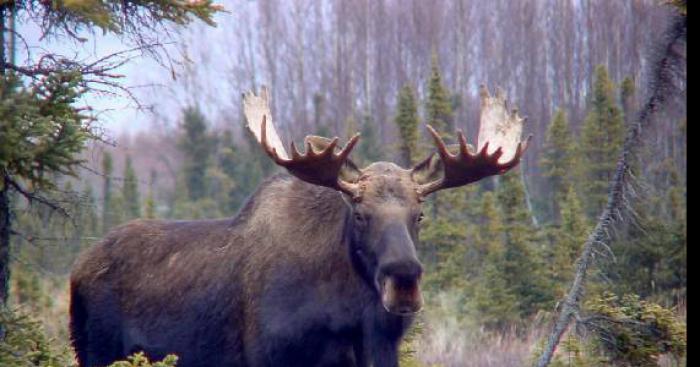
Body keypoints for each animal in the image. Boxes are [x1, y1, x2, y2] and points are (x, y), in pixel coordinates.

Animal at [69, 85, 532, 366]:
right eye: (359, 213)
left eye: (419, 215)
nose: (404, 279)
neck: (354, 319)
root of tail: (78, 268)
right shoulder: (267, 356)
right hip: (96, 349)